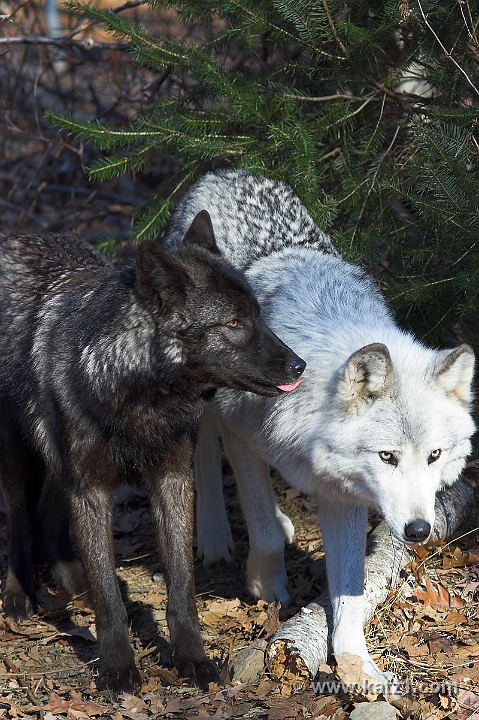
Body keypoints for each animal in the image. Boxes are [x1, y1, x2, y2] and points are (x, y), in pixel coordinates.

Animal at [0, 211, 306, 696]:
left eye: (258, 315)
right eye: (234, 324)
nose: (300, 365)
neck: (139, 399)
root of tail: (19, 237)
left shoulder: (171, 482)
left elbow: (181, 586)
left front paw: (192, 660)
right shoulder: (91, 491)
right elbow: (108, 598)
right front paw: (117, 667)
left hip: (60, 468)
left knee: (48, 517)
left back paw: (70, 576)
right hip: (18, 452)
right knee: (18, 521)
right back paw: (17, 594)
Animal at [165, 170, 476, 685]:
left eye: (434, 456)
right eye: (387, 456)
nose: (417, 530)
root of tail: (225, 172)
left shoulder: (342, 493)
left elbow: (350, 591)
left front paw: (355, 665)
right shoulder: (241, 435)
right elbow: (262, 527)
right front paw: (266, 585)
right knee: (205, 452)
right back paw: (212, 535)